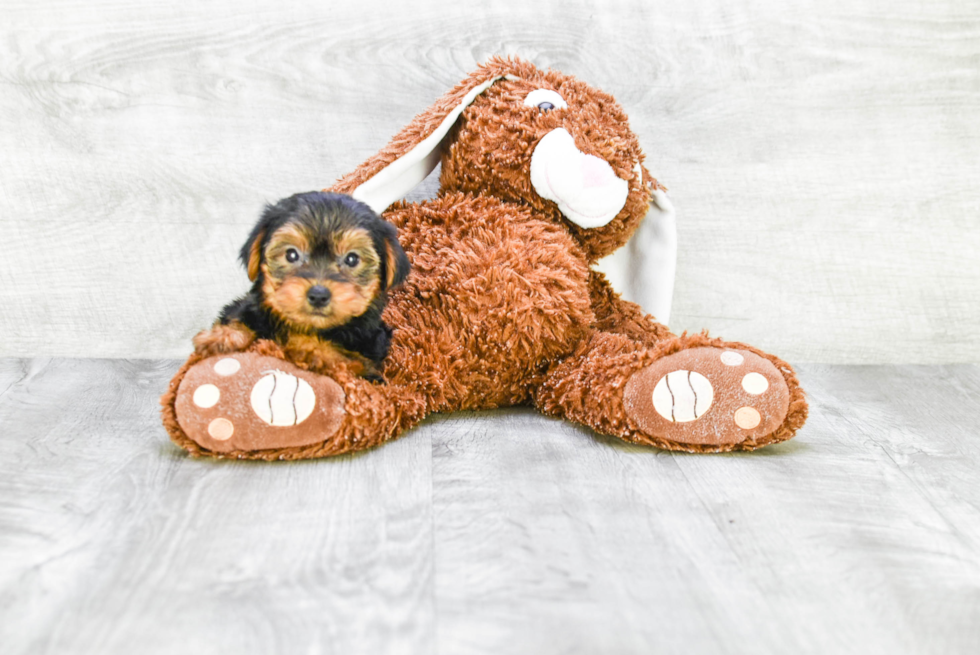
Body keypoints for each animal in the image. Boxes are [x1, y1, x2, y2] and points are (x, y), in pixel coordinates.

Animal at [193, 192, 412, 382]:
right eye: (291, 255)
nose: (318, 295)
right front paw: (221, 337)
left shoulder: (368, 355)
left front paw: (308, 346)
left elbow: (341, 358)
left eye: (352, 259)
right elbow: (241, 319)